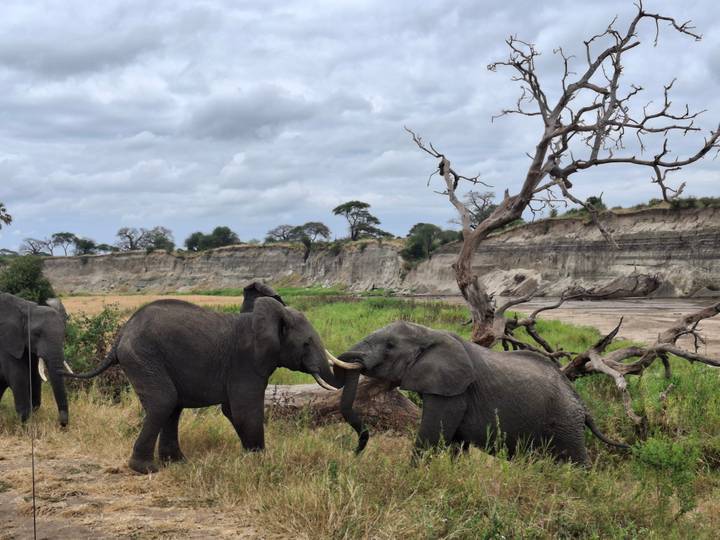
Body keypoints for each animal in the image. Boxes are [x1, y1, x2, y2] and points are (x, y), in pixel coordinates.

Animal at [0, 292, 72, 426]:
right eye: (36, 334)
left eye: (64, 334)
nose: (62, 424)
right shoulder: (6, 346)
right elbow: (19, 377)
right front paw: (26, 426)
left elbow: (35, 378)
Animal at [66, 297, 349, 474]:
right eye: (306, 344)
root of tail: (121, 334)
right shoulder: (246, 363)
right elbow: (244, 411)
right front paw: (260, 461)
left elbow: (232, 411)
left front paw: (253, 457)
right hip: (143, 356)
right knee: (164, 402)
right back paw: (146, 469)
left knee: (172, 407)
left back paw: (177, 463)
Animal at [335, 321, 628, 465]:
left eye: (390, 346)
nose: (354, 453)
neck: (430, 333)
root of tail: (583, 407)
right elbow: (455, 443)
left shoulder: (454, 392)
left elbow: (431, 437)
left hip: (566, 425)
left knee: (575, 464)